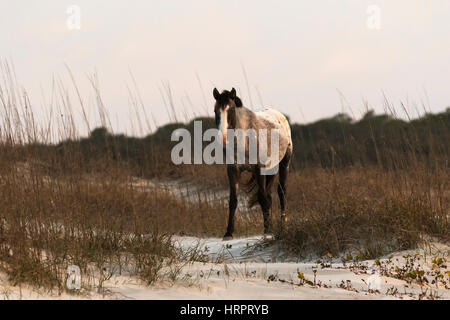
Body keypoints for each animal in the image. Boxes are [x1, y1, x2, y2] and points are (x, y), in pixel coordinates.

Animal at [213, 87, 294, 240]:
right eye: (216, 111)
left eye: (231, 110)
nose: (223, 138)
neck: (244, 139)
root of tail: (280, 116)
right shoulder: (232, 170)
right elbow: (233, 200)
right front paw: (228, 232)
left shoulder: (258, 168)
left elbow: (262, 198)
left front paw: (267, 230)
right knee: (269, 195)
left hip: (284, 164)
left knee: (281, 193)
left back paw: (283, 225)